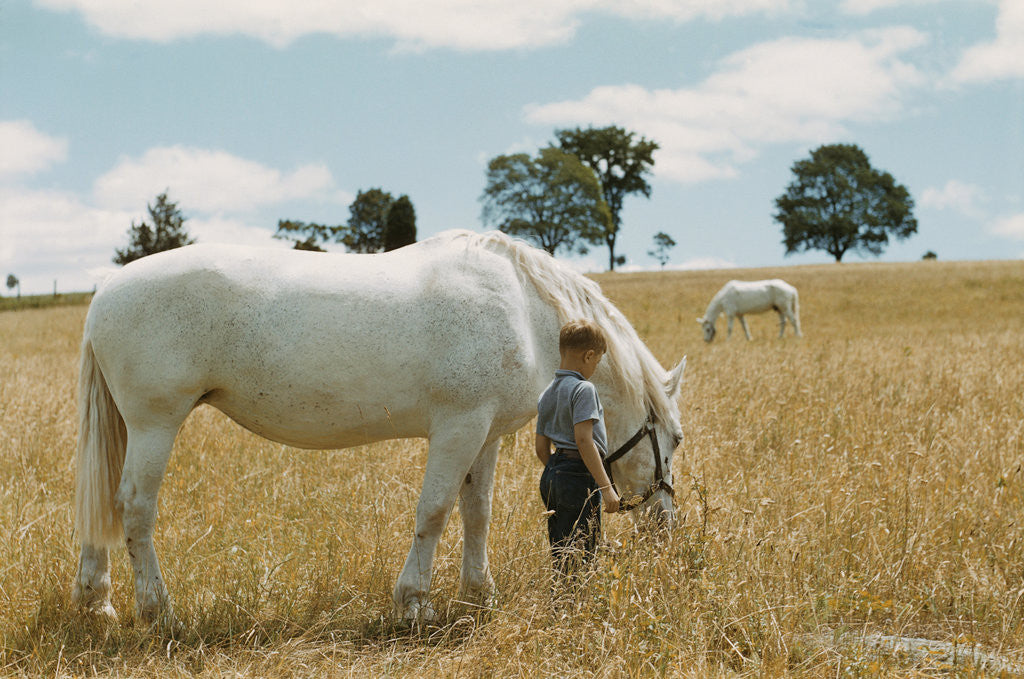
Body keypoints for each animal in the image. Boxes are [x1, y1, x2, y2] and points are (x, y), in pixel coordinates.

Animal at [72, 230, 687, 624]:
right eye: (676, 439)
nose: (666, 524)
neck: (523, 308)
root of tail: (105, 293)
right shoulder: (458, 429)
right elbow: (434, 512)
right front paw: (414, 603)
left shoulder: (485, 435)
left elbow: (476, 513)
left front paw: (478, 595)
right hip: (155, 424)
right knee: (134, 508)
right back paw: (158, 612)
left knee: (104, 506)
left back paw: (95, 601)